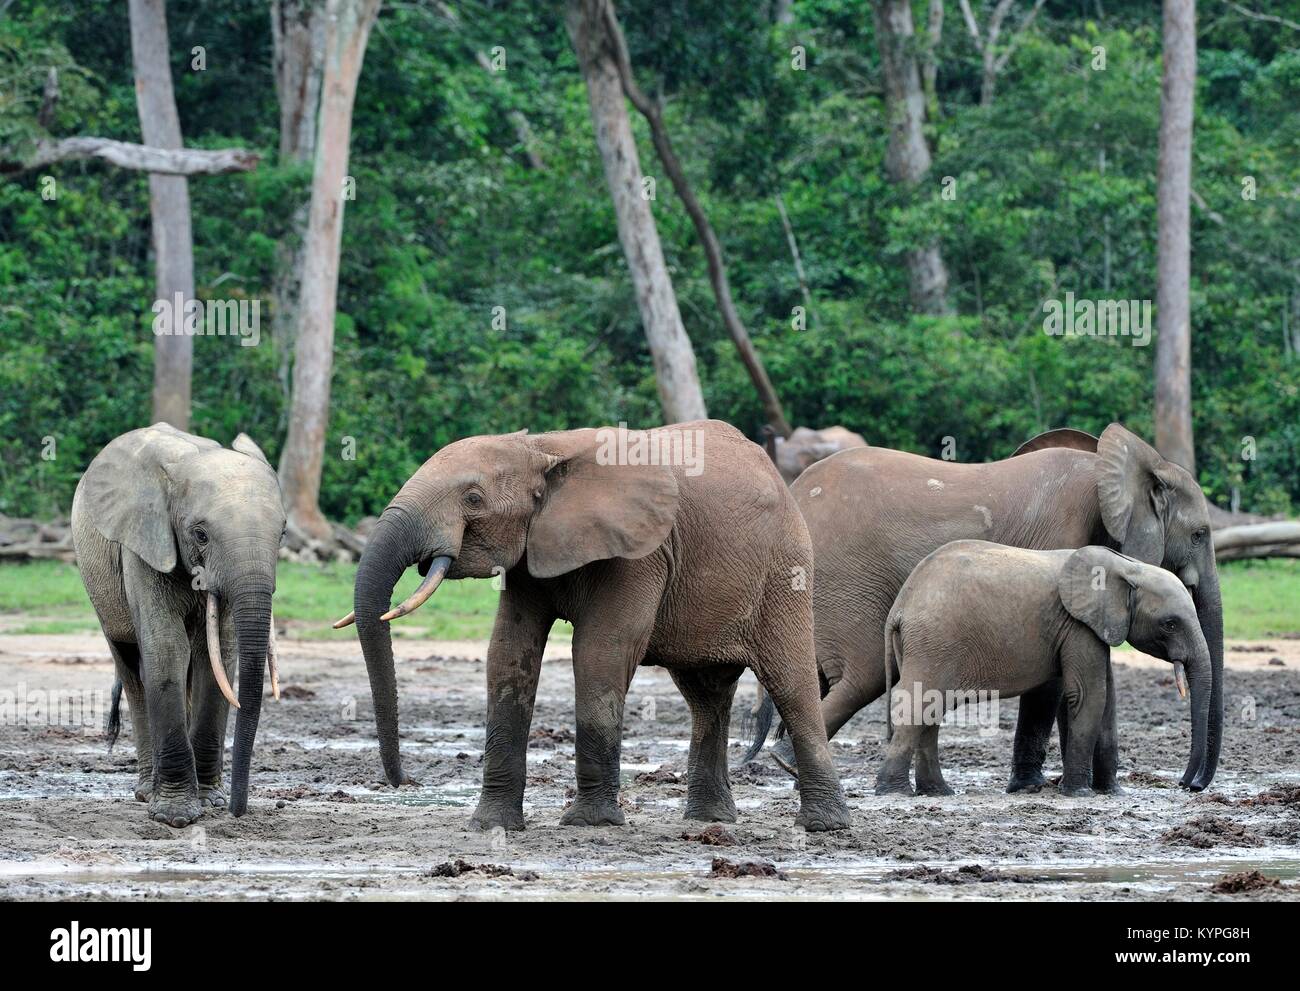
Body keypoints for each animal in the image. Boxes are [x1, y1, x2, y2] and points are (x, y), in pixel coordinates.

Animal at [69, 421, 286, 821]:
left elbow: (218, 655)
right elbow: (167, 649)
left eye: (282, 534)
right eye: (200, 534)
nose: (238, 811)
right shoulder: (144, 545)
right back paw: (144, 792)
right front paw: (175, 817)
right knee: (131, 668)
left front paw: (210, 802)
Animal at [335, 416, 852, 827]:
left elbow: (601, 651)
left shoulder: (641, 551)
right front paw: (490, 825)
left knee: (791, 683)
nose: (403, 781)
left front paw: (589, 823)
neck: (543, 447)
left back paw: (824, 826)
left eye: (474, 499)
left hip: (785, 570)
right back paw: (710, 820)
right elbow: (508, 654)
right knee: (706, 696)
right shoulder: (530, 551)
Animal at [873, 541, 1206, 795]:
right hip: (934, 641)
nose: (1186, 786)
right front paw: (1079, 794)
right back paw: (894, 792)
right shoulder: (1077, 625)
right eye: (1170, 624)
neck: (1127, 567)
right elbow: (1089, 695)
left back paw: (938, 792)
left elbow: (1107, 699)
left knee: (931, 709)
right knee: (920, 704)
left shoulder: (1095, 627)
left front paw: (1113, 793)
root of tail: (900, 607)